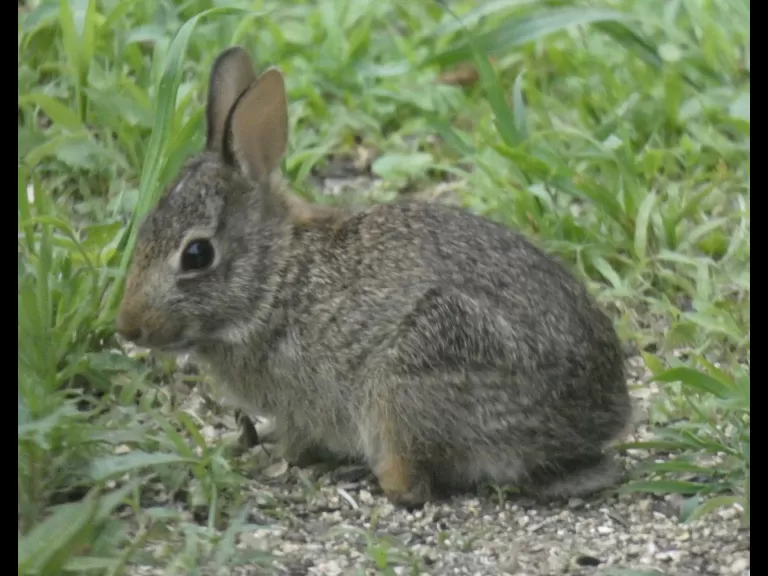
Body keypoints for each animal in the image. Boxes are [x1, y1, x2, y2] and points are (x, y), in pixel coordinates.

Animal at [116, 46, 633, 508]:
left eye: (197, 254)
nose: (130, 327)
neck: (276, 277)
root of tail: (593, 421)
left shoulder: (303, 398)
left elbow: (296, 440)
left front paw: (270, 456)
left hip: (408, 380)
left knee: (414, 486)